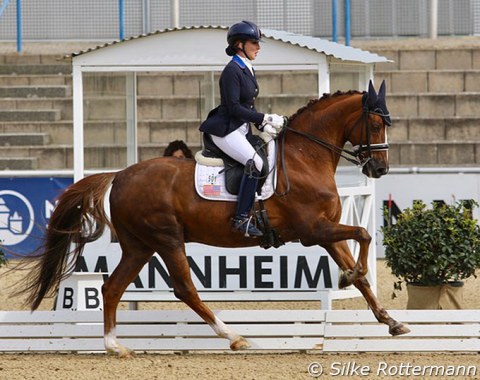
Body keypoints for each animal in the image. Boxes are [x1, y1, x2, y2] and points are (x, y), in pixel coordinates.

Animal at [18, 80, 408, 356]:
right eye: (376, 123)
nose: (380, 168)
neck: (304, 156)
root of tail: (119, 175)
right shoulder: (314, 230)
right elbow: (363, 236)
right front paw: (349, 275)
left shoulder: (326, 232)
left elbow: (362, 270)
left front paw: (390, 321)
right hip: (167, 239)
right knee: (185, 289)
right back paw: (234, 337)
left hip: (139, 245)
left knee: (112, 287)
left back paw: (115, 346)